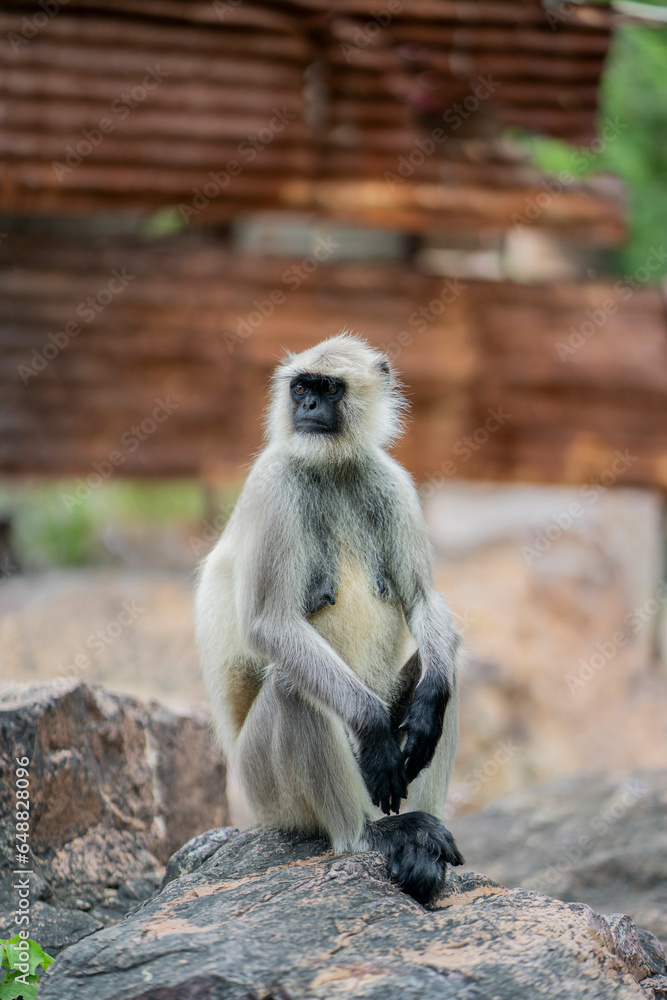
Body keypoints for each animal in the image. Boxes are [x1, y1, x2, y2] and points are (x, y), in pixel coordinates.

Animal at [194, 332, 463, 905]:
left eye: (328, 388)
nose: (310, 408)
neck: (333, 469)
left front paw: (429, 705)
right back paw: (370, 835)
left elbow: (424, 602)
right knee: (293, 685)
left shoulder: (393, 480)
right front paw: (374, 728)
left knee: (450, 669)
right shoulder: (273, 482)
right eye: (301, 389)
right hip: (269, 793)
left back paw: (422, 843)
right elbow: (271, 625)